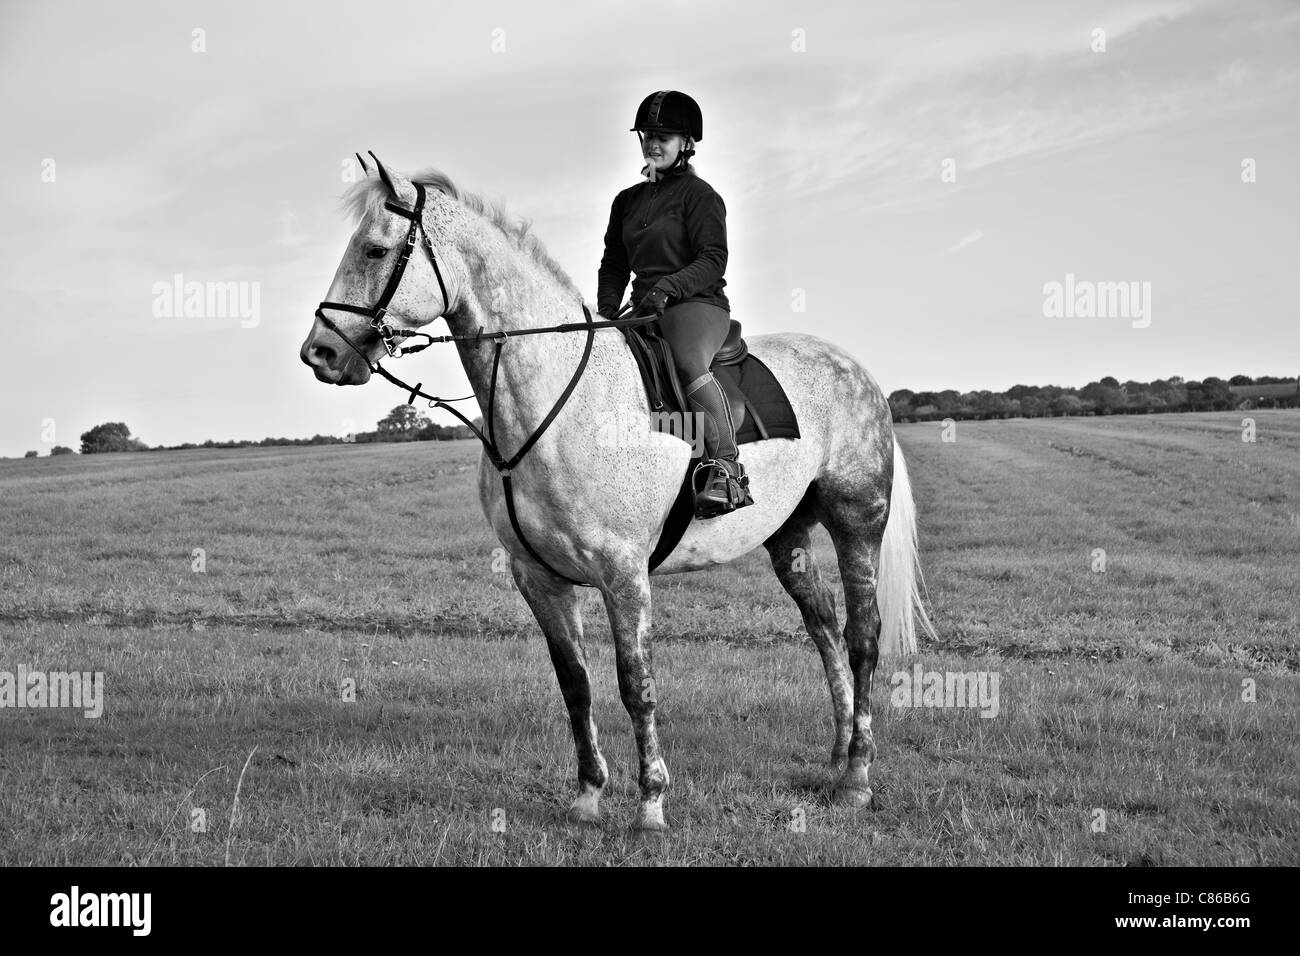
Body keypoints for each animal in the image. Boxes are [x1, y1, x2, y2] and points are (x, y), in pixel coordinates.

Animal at [297, 155, 935, 832]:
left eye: (374, 249)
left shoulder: (623, 573)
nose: (321, 352)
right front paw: (587, 795)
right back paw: (838, 755)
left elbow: (636, 684)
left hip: (856, 522)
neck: (554, 405)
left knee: (862, 636)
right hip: (788, 536)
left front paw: (651, 802)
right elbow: (575, 684)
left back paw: (858, 778)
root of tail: (857, 370)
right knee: (824, 628)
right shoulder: (539, 578)